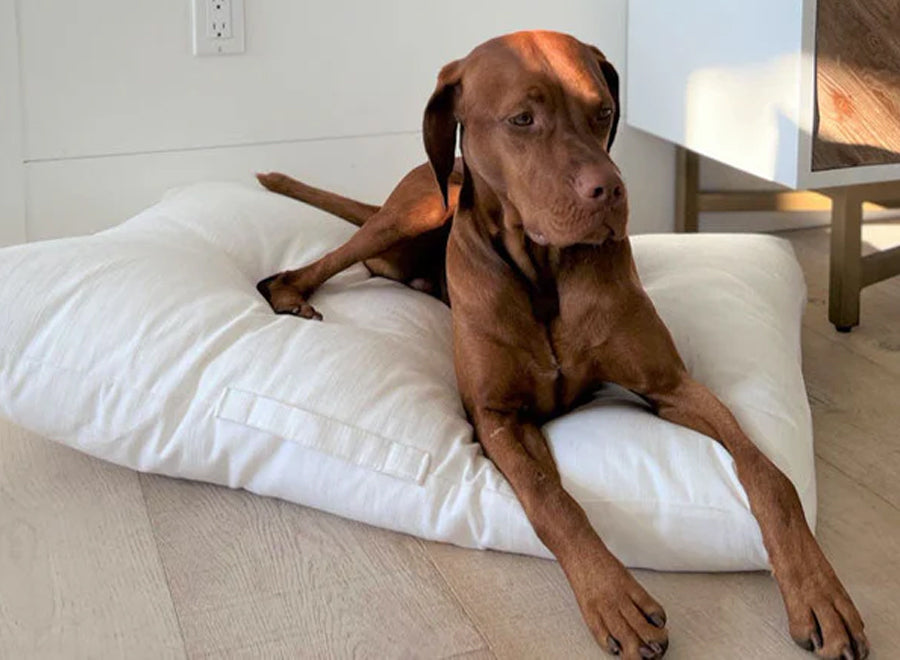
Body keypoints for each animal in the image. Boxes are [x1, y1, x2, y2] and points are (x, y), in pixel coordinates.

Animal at [256, 31, 868, 660]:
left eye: (603, 111)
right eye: (522, 119)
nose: (612, 191)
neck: (543, 273)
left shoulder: (673, 385)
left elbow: (770, 477)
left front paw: (819, 593)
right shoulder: (498, 416)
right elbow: (553, 500)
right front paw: (614, 598)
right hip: (421, 205)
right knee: (328, 260)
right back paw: (291, 291)